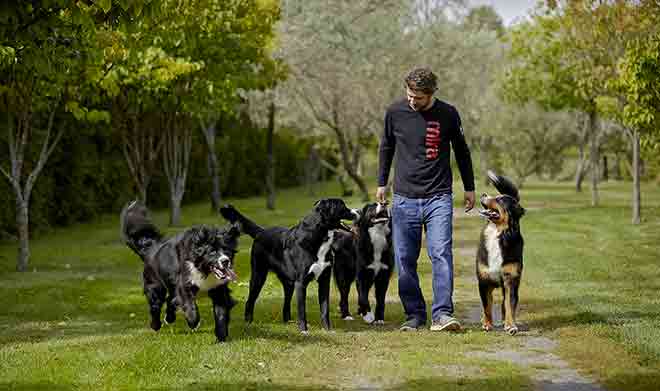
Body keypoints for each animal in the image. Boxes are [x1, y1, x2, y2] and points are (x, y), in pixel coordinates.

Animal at [120, 202, 241, 344]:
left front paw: (221, 338)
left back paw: (169, 318)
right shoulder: (184, 283)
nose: (225, 261)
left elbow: (220, 312)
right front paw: (194, 322)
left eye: (227, 250)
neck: (203, 269)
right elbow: (189, 304)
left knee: (170, 300)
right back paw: (156, 325)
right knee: (156, 305)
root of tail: (151, 249)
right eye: (212, 252)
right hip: (155, 285)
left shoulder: (218, 288)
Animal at [219, 199, 358, 334]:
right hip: (258, 276)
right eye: (342, 206)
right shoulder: (301, 283)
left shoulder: (324, 280)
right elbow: (302, 310)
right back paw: (248, 323)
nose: (357, 212)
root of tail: (262, 232)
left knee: (286, 303)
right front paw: (304, 330)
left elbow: (325, 309)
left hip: (289, 283)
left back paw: (288, 322)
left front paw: (328, 330)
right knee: (250, 301)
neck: (318, 237)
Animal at [474, 172, 524, 336]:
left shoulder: (510, 279)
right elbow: (487, 306)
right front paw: (487, 324)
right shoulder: (484, 280)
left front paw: (510, 325)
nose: (483, 194)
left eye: (500, 199)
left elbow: (509, 305)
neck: (498, 234)